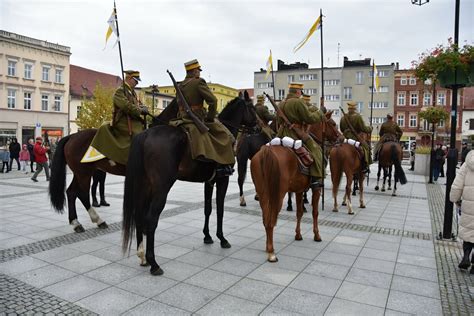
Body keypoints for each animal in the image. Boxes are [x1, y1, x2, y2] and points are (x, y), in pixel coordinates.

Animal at [122, 92, 256, 274]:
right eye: (252, 108)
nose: (258, 127)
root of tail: (145, 134)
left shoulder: (209, 182)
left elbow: (208, 209)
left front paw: (207, 236)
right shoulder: (223, 180)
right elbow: (220, 209)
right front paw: (222, 238)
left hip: (144, 185)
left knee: (139, 215)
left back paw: (142, 257)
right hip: (161, 188)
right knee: (151, 218)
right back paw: (154, 263)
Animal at [248, 112, 340, 262]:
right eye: (332, 123)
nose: (340, 137)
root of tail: (266, 151)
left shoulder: (299, 190)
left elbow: (299, 212)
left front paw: (298, 235)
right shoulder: (316, 189)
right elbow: (315, 212)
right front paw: (317, 235)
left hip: (263, 193)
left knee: (265, 218)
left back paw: (268, 247)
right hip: (277, 194)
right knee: (271, 219)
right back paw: (271, 252)